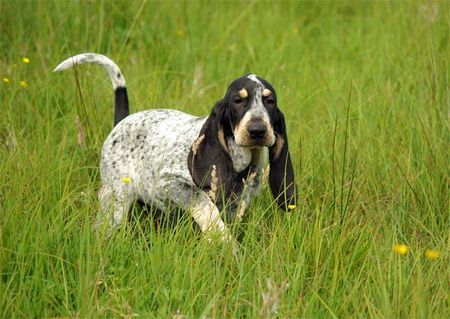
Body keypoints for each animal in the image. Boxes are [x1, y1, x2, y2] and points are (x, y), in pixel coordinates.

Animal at [54, 53, 296, 242]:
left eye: (270, 101)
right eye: (238, 100)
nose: (258, 130)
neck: (239, 165)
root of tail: (122, 121)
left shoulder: (238, 206)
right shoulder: (168, 183)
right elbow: (202, 202)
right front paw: (221, 237)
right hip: (115, 203)